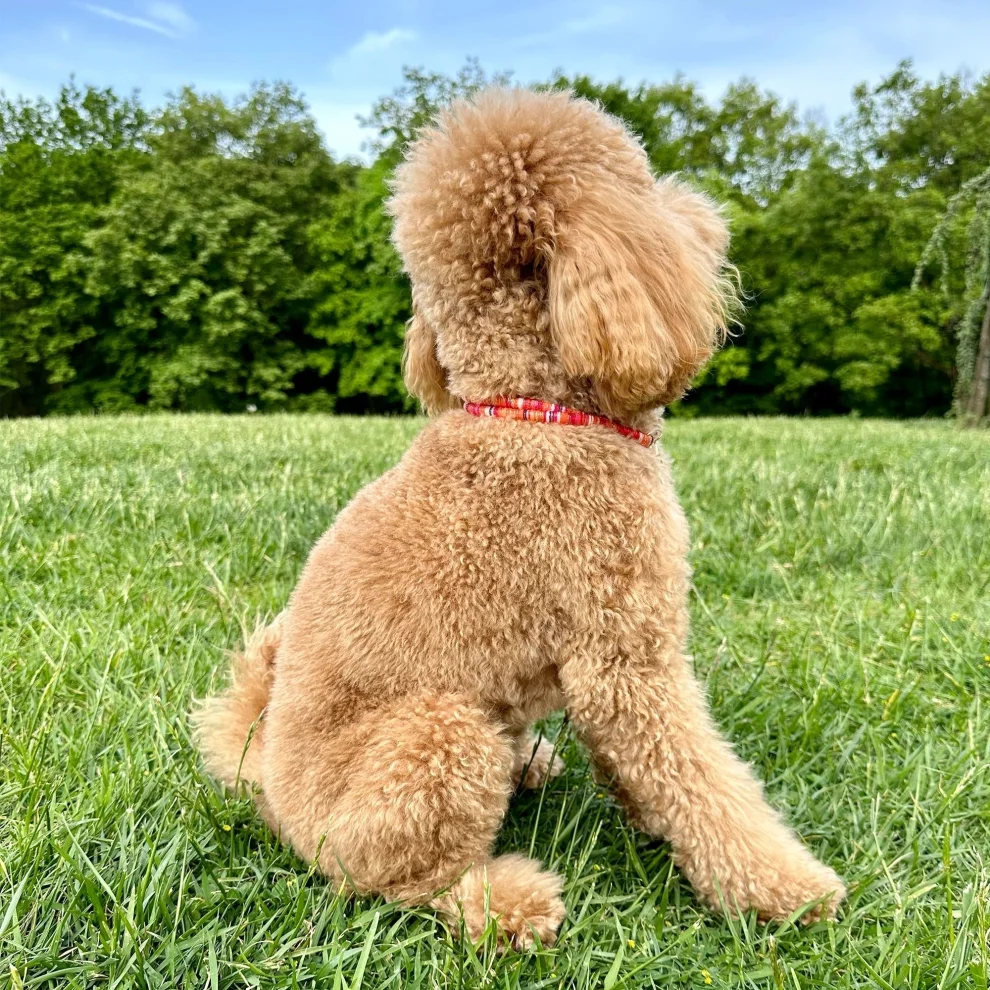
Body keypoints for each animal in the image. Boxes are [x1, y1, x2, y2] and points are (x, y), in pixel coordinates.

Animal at [194, 89, 844, 948]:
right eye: (641, 178)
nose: (707, 212)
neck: (532, 409)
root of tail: (263, 780)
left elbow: (654, 774)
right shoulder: (627, 658)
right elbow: (701, 778)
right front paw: (786, 890)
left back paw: (531, 763)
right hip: (438, 735)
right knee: (395, 883)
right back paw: (505, 901)